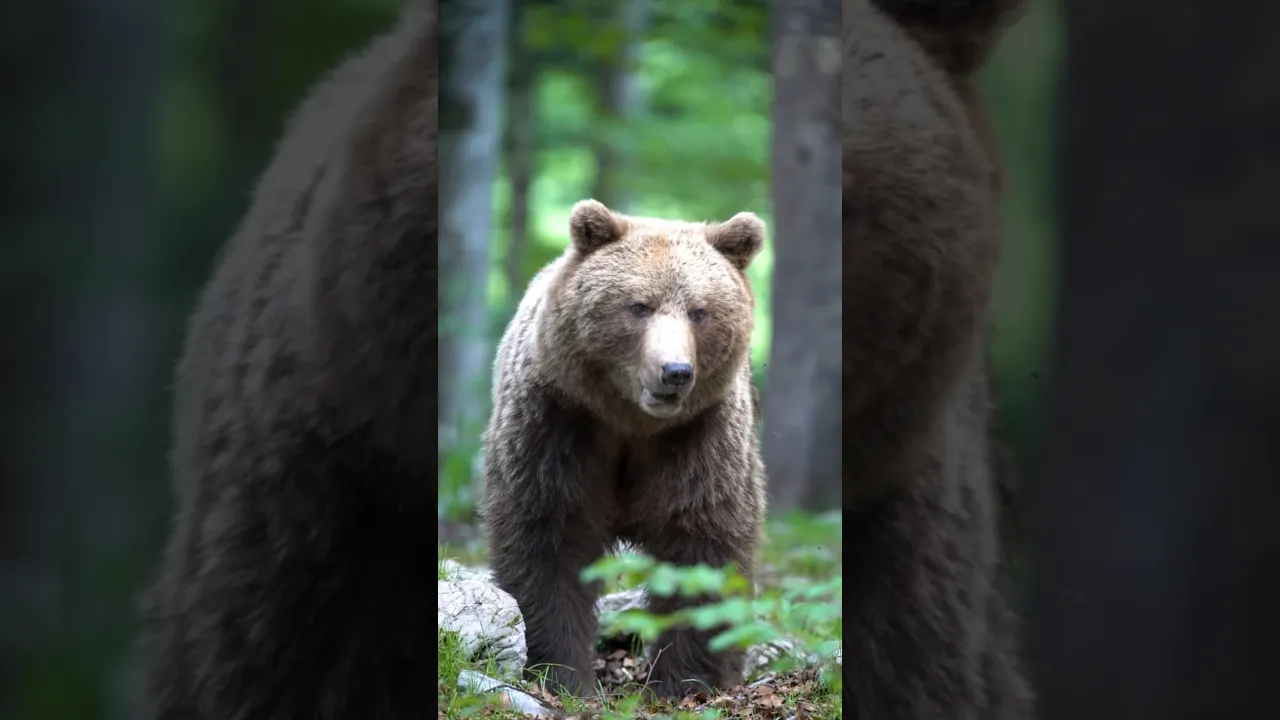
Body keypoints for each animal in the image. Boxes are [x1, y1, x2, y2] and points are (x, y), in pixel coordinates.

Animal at [480, 199, 768, 700]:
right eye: (639, 306)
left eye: (700, 311)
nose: (675, 371)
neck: (631, 422)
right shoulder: (557, 425)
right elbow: (547, 538)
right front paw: (564, 673)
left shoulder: (700, 439)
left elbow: (702, 545)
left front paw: (679, 682)